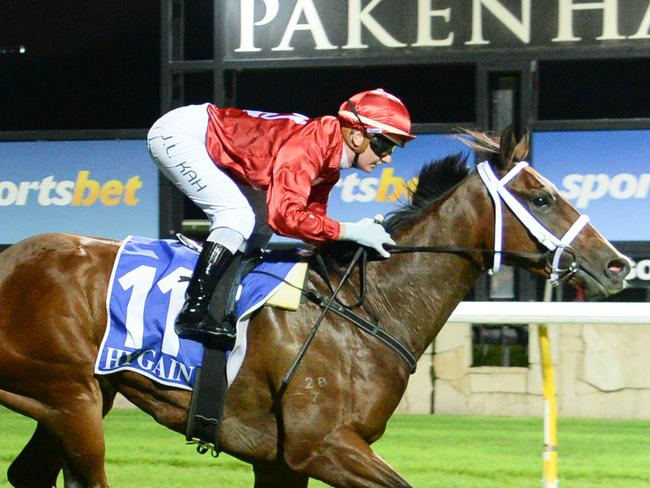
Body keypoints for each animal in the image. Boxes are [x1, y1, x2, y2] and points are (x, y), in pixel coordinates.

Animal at [0, 130, 632, 488]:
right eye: (542, 197)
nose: (617, 264)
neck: (371, 310)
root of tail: (12, 258)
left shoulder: (280, 462)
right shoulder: (321, 447)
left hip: (77, 399)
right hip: (72, 398)